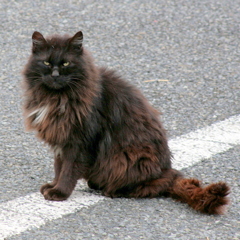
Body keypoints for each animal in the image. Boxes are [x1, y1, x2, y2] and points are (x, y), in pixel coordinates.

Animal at [22, 31, 229, 214]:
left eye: (66, 63)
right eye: (46, 62)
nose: (55, 75)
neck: (56, 98)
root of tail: (167, 171)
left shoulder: (81, 141)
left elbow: (68, 170)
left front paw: (59, 192)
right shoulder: (61, 139)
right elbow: (58, 167)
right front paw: (52, 186)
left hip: (131, 157)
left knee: (149, 186)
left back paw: (111, 190)